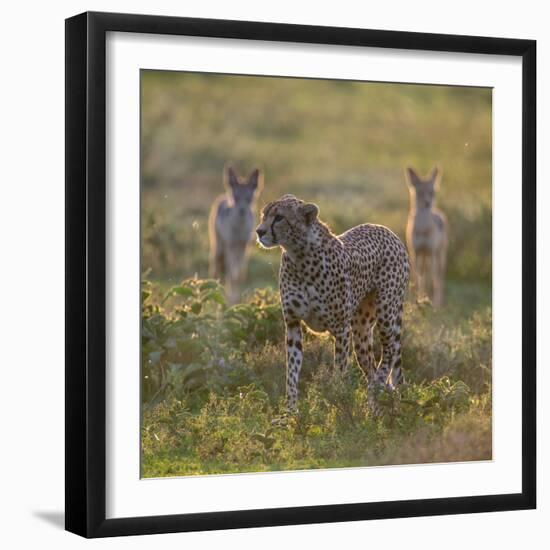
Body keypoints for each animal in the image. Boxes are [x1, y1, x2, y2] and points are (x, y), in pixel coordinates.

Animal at [258, 194, 410, 414]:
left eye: (279, 217)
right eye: (263, 215)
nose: (259, 231)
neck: (300, 256)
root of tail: (387, 231)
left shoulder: (341, 330)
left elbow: (339, 372)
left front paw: (338, 403)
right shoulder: (293, 324)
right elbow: (292, 373)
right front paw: (290, 413)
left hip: (386, 314)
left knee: (389, 352)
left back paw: (377, 389)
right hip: (361, 331)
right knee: (371, 366)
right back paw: (375, 405)